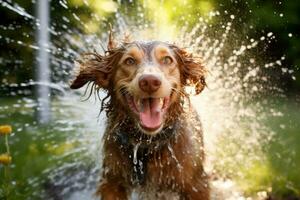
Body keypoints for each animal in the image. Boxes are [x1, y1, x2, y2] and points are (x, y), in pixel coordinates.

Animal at [70, 33, 210, 199]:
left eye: (167, 60)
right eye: (129, 61)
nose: (150, 81)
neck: (146, 143)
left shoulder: (196, 185)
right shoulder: (112, 182)